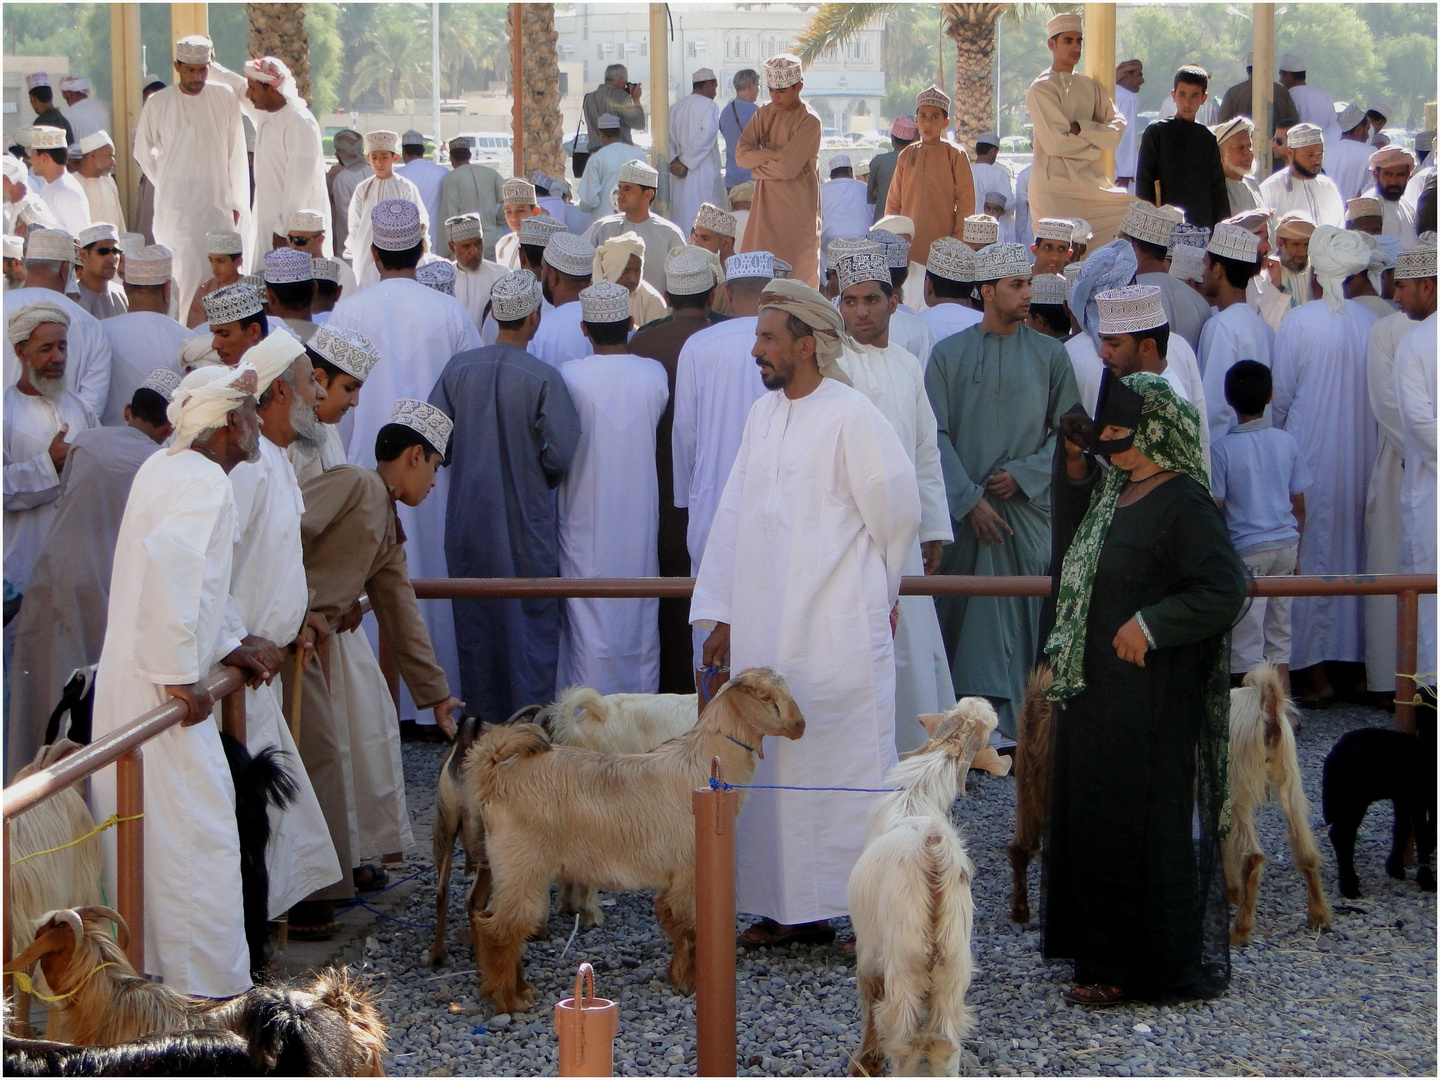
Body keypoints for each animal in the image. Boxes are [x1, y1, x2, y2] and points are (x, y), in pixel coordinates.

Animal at [460, 668, 806, 1013]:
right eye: (764, 696)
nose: (800, 725)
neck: (702, 763)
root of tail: (496, 772)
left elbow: (675, 925)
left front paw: (677, 976)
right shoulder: (688, 871)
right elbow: (690, 929)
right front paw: (690, 984)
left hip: (505, 867)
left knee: (492, 921)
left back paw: (517, 988)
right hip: (522, 867)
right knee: (500, 929)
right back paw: (509, 999)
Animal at [840, 696, 1013, 1077]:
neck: (917, 793)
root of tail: (932, 850)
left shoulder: (869, 949)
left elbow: (869, 996)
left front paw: (864, 1062)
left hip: (905, 956)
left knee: (903, 1035)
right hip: (954, 961)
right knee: (945, 1041)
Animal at [1221, 668, 1330, 944]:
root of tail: (1267, 705)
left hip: (1236, 790)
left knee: (1252, 856)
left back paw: (1240, 930)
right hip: (1290, 784)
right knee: (1306, 852)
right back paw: (1319, 916)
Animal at [1319, 714, 1434, 898]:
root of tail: (1335, 753)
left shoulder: (1403, 798)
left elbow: (1402, 829)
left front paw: (1395, 868)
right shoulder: (1418, 799)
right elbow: (1423, 835)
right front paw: (1426, 880)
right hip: (1353, 799)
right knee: (1341, 835)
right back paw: (1349, 887)